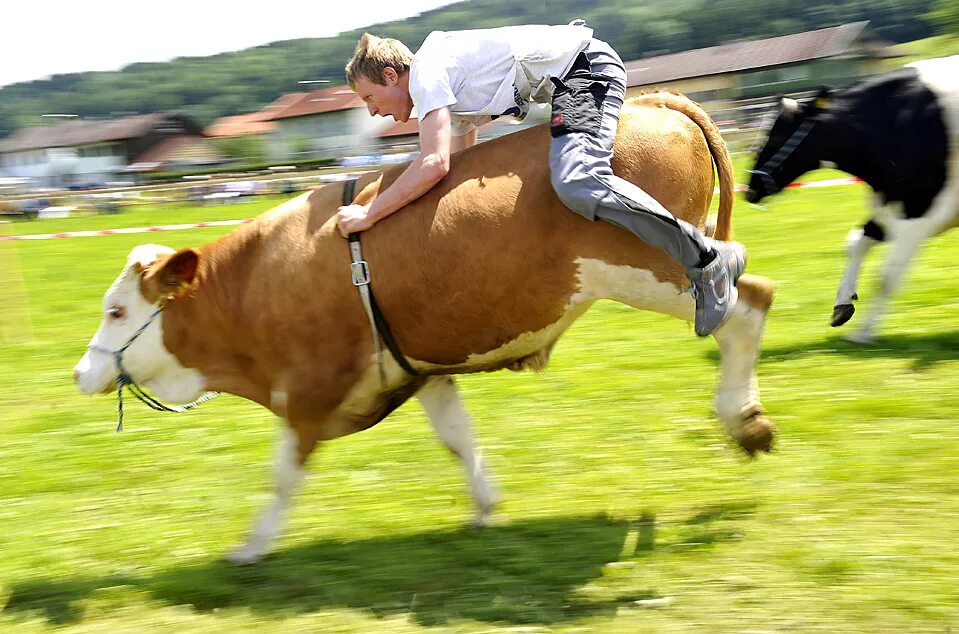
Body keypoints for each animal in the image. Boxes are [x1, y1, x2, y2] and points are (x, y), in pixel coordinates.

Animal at [77, 92, 780, 564]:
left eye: (116, 311)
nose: (81, 371)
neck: (256, 285)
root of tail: (653, 102)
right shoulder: (421, 371)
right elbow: (458, 440)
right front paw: (486, 508)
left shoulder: (306, 392)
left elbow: (281, 478)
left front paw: (249, 548)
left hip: (653, 270)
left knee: (746, 303)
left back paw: (745, 420)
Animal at [752, 56, 959, 344]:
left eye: (776, 136)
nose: (749, 188)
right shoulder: (889, 207)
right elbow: (855, 244)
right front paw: (842, 306)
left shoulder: (918, 214)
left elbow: (886, 277)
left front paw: (862, 333)